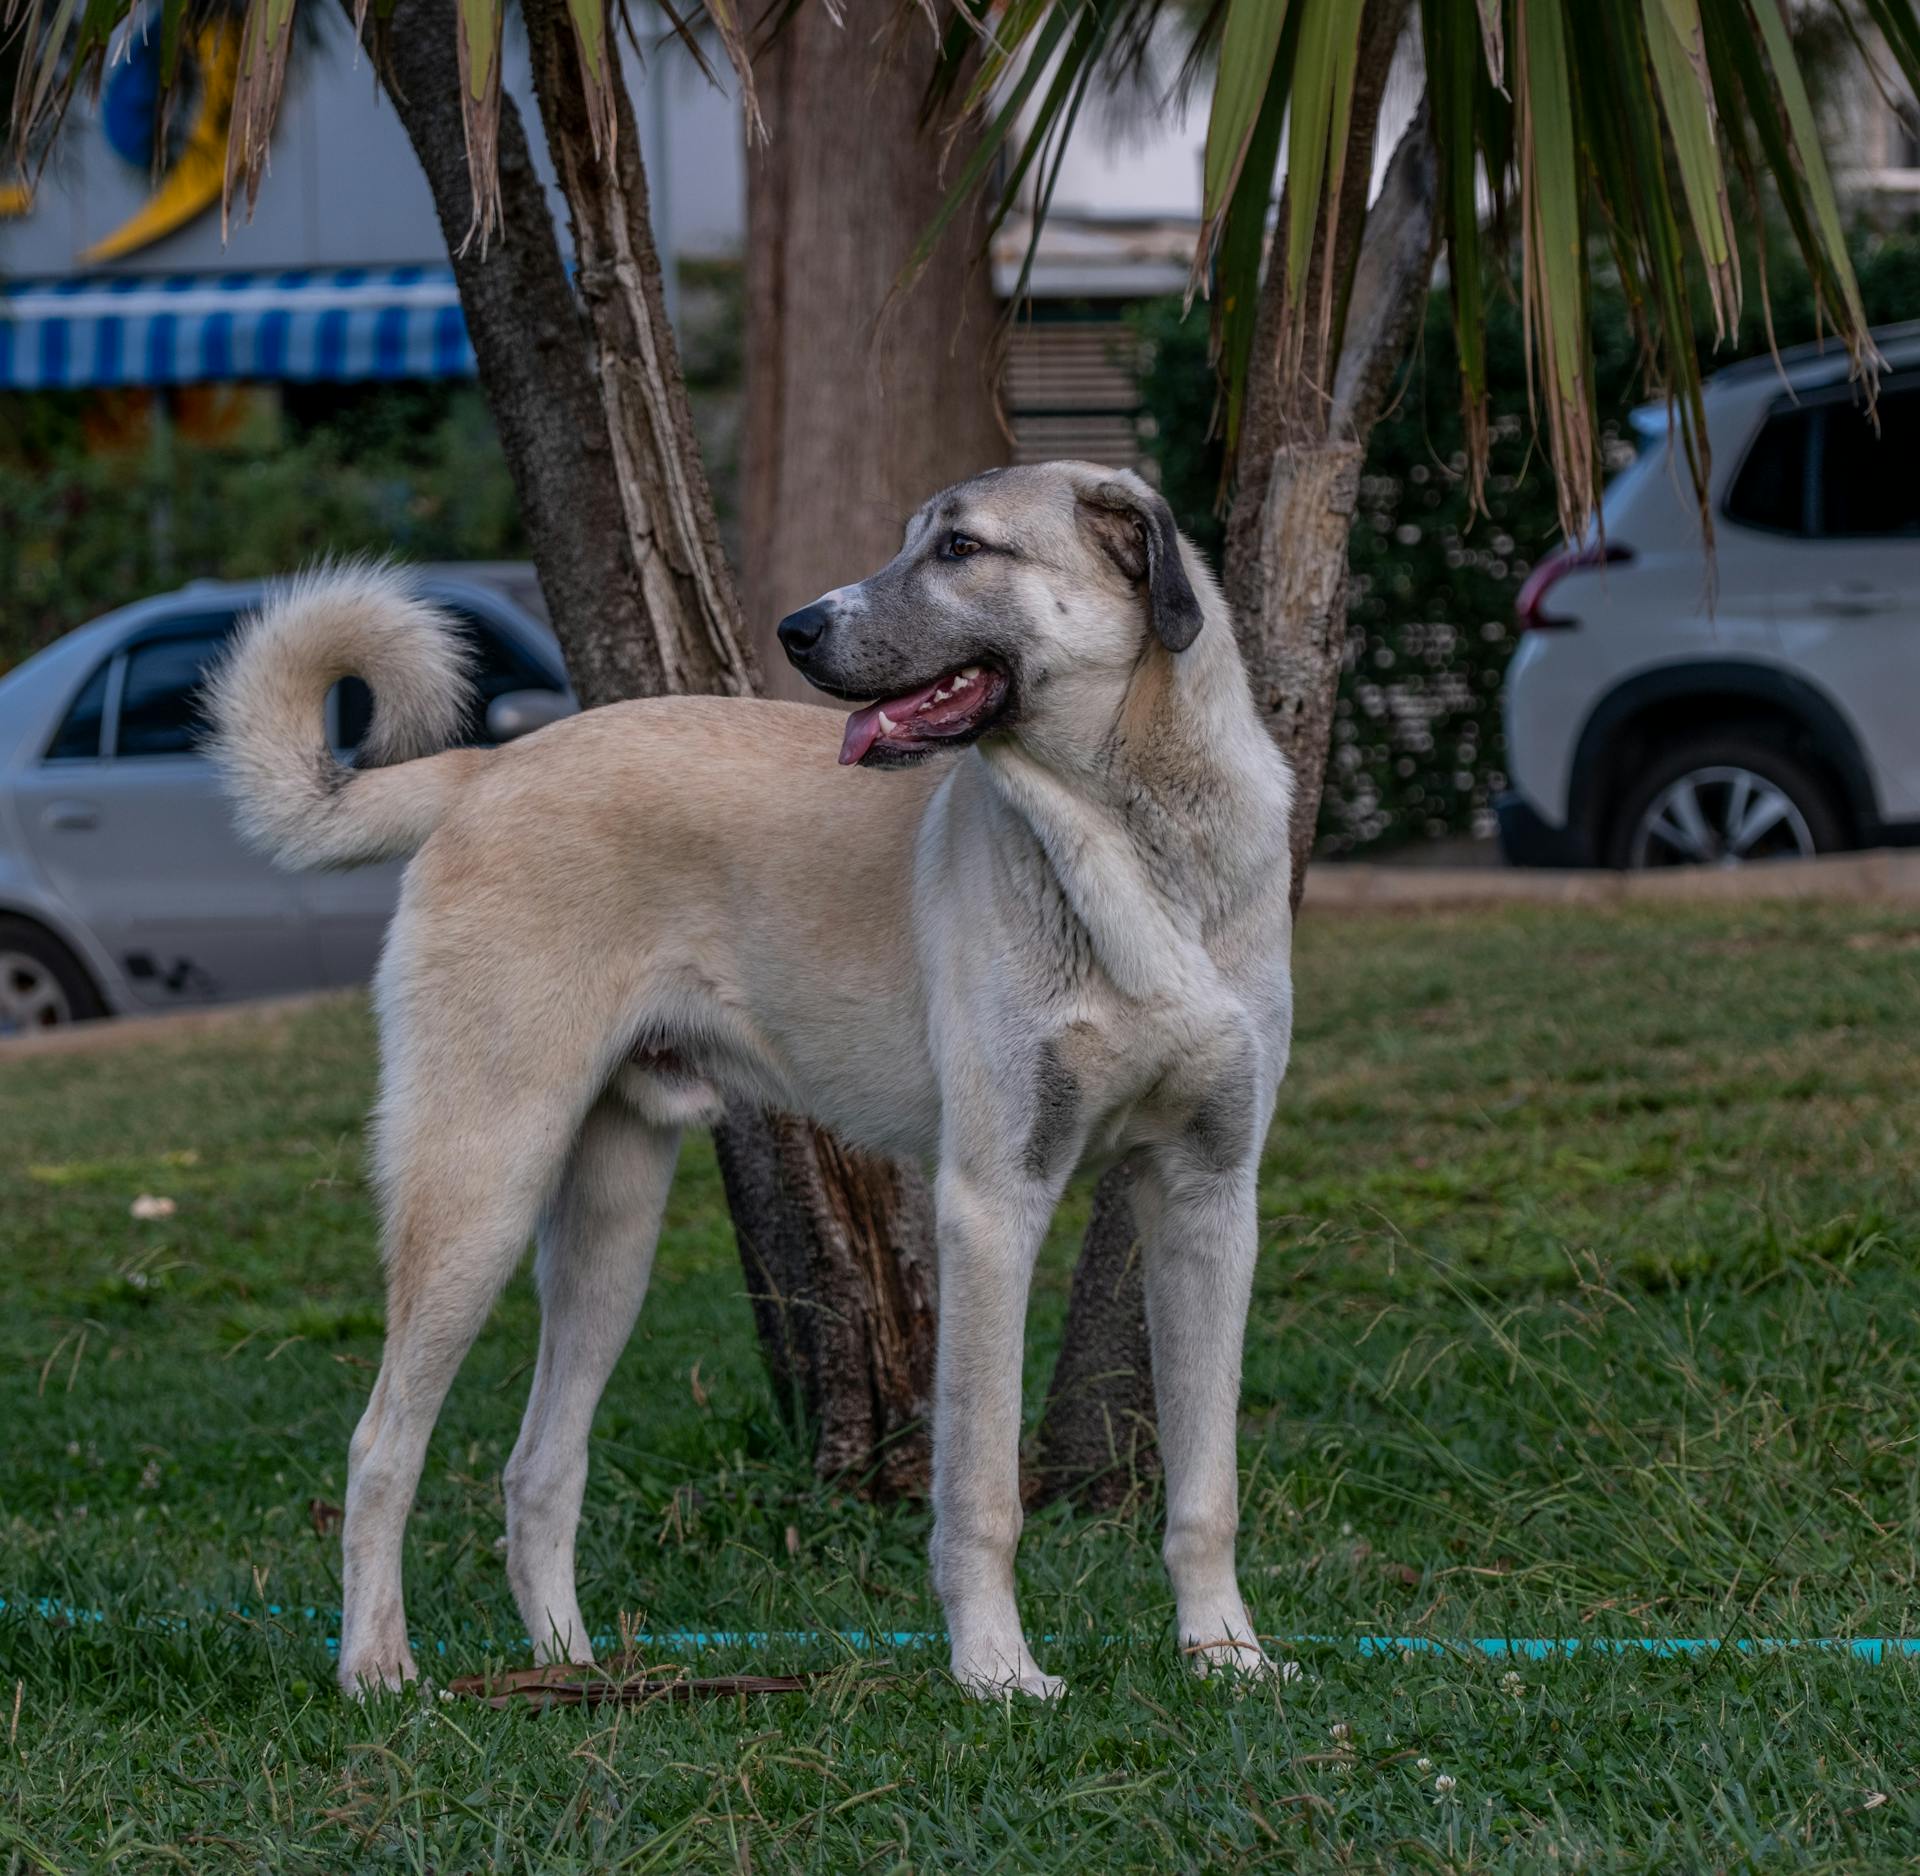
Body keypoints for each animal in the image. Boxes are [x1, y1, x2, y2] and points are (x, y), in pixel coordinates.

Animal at [206, 456, 1290, 1697]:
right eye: (914, 539)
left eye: (962, 549)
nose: (798, 628)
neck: (1137, 839)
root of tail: (492, 765)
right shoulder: (992, 1204)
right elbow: (980, 1490)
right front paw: (997, 1672)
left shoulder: (1211, 1196)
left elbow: (1206, 1487)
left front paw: (1227, 1656)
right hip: (480, 1184)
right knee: (382, 1443)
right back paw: (377, 1667)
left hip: (609, 1232)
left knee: (540, 1464)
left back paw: (573, 1669)